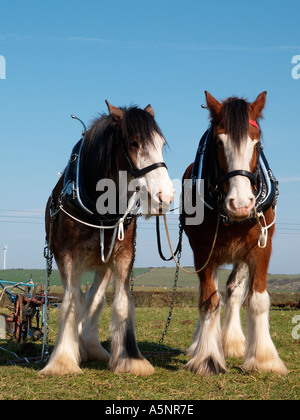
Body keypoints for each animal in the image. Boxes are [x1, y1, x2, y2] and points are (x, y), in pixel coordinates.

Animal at [41, 102, 175, 378]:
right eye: (134, 143)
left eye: (161, 143)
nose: (165, 196)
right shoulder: (68, 256)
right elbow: (71, 303)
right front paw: (62, 361)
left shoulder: (123, 256)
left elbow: (121, 304)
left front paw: (131, 359)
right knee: (81, 299)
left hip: (103, 265)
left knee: (94, 299)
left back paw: (92, 348)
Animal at [182, 91, 288, 374]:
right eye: (219, 142)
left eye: (257, 144)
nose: (240, 205)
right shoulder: (203, 252)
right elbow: (209, 301)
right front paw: (207, 357)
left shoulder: (261, 248)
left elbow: (257, 299)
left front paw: (263, 359)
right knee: (209, 294)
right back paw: (200, 345)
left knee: (233, 291)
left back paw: (232, 342)